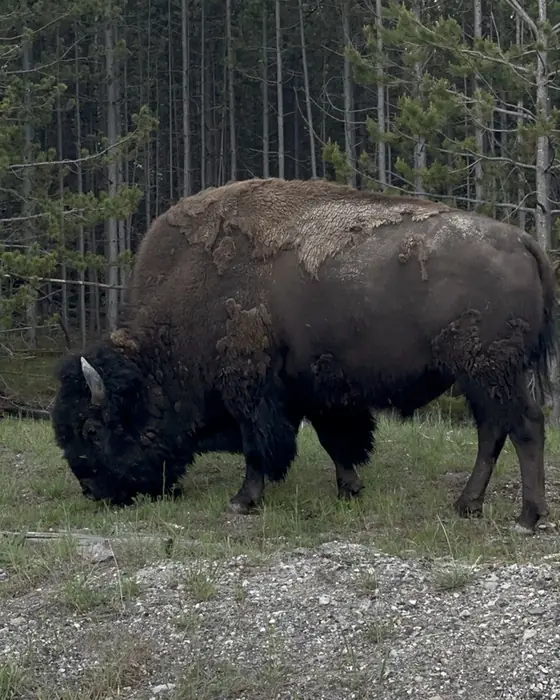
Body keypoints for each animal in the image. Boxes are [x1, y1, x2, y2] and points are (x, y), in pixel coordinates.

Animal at [52, 177, 557, 533]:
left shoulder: (251, 386)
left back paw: (526, 517)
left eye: (92, 428)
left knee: (524, 427)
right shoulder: (316, 389)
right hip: (478, 376)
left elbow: (259, 445)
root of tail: (521, 240)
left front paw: (242, 500)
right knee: (492, 430)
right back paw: (467, 505)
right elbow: (337, 441)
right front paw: (350, 489)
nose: (92, 489)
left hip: (490, 369)